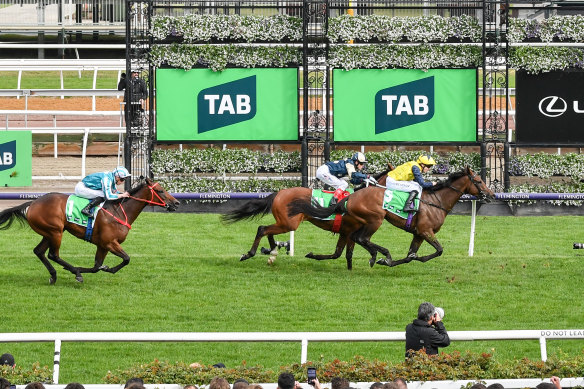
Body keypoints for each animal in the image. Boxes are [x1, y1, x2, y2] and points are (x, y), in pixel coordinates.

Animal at [0, 177, 178, 284]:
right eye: (160, 191)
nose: (176, 203)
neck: (119, 212)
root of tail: (32, 203)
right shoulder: (110, 242)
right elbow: (126, 259)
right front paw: (104, 269)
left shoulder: (103, 245)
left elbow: (96, 266)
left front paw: (104, 268)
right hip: (55, 232)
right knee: (53, 254)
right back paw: (74, 272)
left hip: (49, 232)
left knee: (39, 251)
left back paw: (54, 275)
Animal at [221, 165, 394, 268]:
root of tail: (279, 193)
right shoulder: (350, 230)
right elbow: (343, 254)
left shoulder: (347, 232)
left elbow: (345, 254)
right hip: (289, 223)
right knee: (263, 229)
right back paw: (249, 254)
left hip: (284, 222)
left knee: (267, 231)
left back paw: (272, 253)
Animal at [288, 167, 492, 266]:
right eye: (479, 181)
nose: (491, 195)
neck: (436, 201)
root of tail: (351, 197)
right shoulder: (426, 230)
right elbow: (439, 250)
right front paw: (388, 258)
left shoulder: (418, 233)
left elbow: (410, 255)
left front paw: (389, 262)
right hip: (375, 219)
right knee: (362, 238)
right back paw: (379, 254)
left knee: (358, 240)